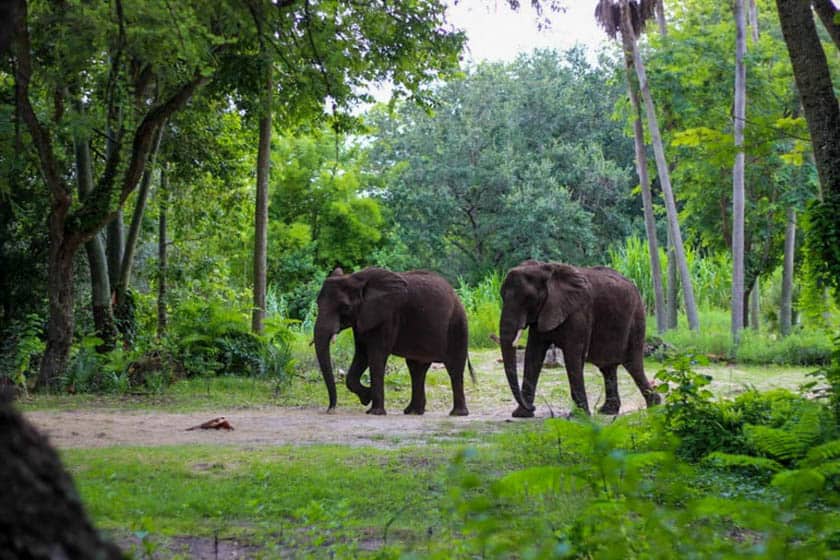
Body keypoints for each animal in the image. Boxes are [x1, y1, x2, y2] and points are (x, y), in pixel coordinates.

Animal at [316, 266, 472, 416]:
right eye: (317, 303)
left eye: (345, 307)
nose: (331, 409)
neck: (355, 278)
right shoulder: (363, 318)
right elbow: (362, 354)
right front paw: (367, 397)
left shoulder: (387, 317)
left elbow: (376, 355)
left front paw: (375, 412)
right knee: (416, 368)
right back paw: (413, 412)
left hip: (457, 324)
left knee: (454, 367)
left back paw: (457, 414)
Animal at [498, 262, 664, 416]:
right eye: (501, 296)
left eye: (528, 298)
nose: (532, 407)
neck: (546, 269)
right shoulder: (544, 312)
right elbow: (533, 354)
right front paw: (521, 414)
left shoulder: (579, 312)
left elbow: (573, 355)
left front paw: (579, 416)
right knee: (608, 368)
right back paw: (608, 411)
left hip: (636, 318)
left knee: (633, 365)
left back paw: (654, 405)